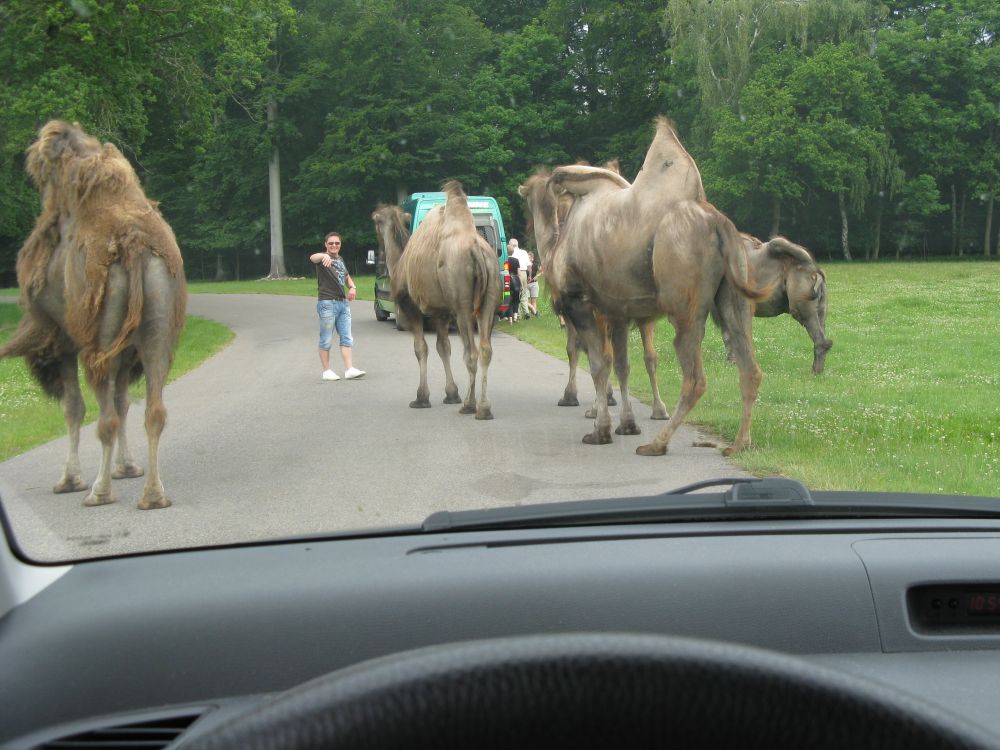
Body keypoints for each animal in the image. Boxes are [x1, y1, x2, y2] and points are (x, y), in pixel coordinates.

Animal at [0, 121, 187, 509]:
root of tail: (132, 244)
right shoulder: (126, 351)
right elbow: (122, 402)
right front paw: (127, 467)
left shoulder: (64, 342)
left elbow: (74, 407)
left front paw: (69, 479)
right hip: (156, 335)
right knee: (152, 410)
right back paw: (153, 495)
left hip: (99, 345)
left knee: (105, 418)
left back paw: (99, 492)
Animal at [371, 181, 501, 419]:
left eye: (375, 222)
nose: (378, 256)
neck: (400, 262)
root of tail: (478, 251)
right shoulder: (440, 311)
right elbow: (443, 347)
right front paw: (451, 394)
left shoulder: (411, 306)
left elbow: (420, 348)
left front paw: (421, 397)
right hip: (489, 298)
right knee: (486, 350)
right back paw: (484, 408)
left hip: (462, 304)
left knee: (471, 352)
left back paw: (469, 406)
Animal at [522, 117, 768, 456]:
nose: (525, 231)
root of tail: (721, 226)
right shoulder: (618, 310)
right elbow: (621, 364)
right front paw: (626, 425)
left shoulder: (579, 301)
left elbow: (598, 363)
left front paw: (600, 430)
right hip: (735, 297)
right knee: (750, 368)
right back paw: (739, 444)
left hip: (683, 304)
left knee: (695, 378)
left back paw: (657, 443)